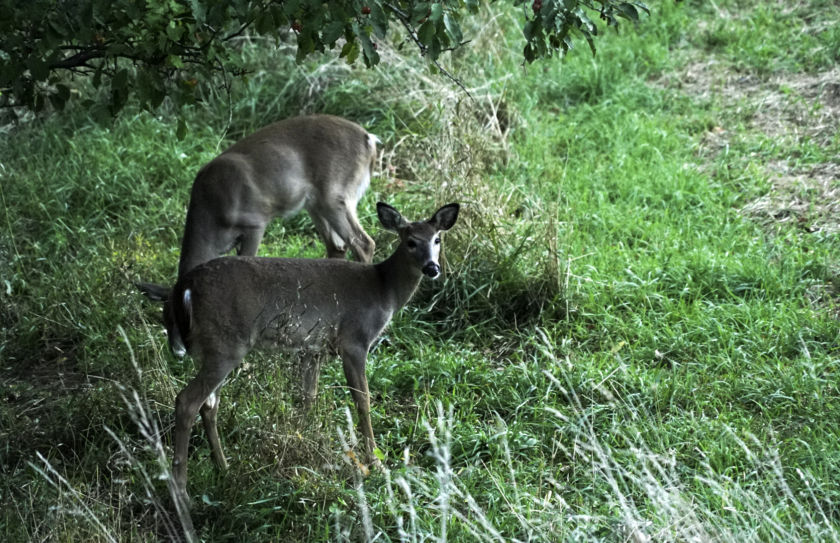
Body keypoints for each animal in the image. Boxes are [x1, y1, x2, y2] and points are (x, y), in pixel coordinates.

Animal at [137, 115, 378, 302]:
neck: (213, 216)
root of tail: (369, 140)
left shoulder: (255, 222)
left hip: (335, 196)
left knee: (364, 243)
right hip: (315, 203)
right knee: (337, 247)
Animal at [161, 201, 462, 502]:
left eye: (437, 239)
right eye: (410, 241)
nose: (432, 267)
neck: (383, 289)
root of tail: (185, 287)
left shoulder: (313, 348)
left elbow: (308, 397)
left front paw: (302, 447)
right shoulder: (354, 340)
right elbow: (362, 400)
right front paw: (375, 462)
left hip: (212, 348)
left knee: (209, 404)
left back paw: (222, 467)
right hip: (226, 345)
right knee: (187, 401)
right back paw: (181, 490)